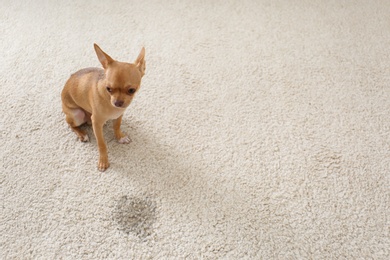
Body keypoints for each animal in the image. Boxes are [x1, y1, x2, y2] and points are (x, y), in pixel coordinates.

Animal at [61, 43, 145, 172]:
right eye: (108, 89)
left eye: (132, 90)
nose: (118, 103)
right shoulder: (96, 123)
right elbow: (101, 144)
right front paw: (103, 162)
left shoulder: (119, 115)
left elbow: (116, 126)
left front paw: (120, 137)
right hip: (77, 115)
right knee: (71, 125)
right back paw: (82, 134)